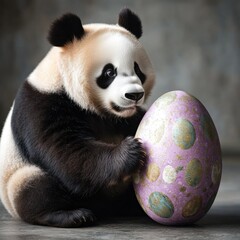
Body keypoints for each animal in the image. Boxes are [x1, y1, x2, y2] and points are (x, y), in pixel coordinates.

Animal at [0, 7, 155, 227]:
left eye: (137, 69)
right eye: (109, 72)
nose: (134, 95)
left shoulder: (129, 117)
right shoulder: (42, 104)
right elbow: (67, 150)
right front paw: (129, 151)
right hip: (15, 179)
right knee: (35, 187)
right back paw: (71, 215)